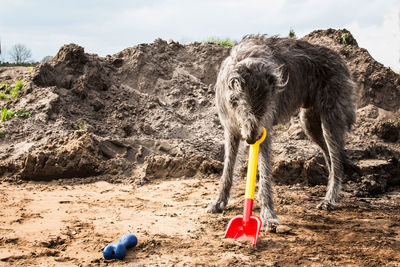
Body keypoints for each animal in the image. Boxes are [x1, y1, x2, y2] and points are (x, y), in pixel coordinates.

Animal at [208, 35, 354, 231]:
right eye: (238, 102)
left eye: (267, 106)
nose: (252, 138)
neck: (247, 58)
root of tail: (340, 59)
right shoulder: (231, 130)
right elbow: (228, 169)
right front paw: (219, 202)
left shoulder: (265, 129)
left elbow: (264, 174)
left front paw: (269, 216)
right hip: (309, 123)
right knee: (330, 156)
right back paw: (332, 190)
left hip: (330, 118)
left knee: (336, 158)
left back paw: (330, 199)